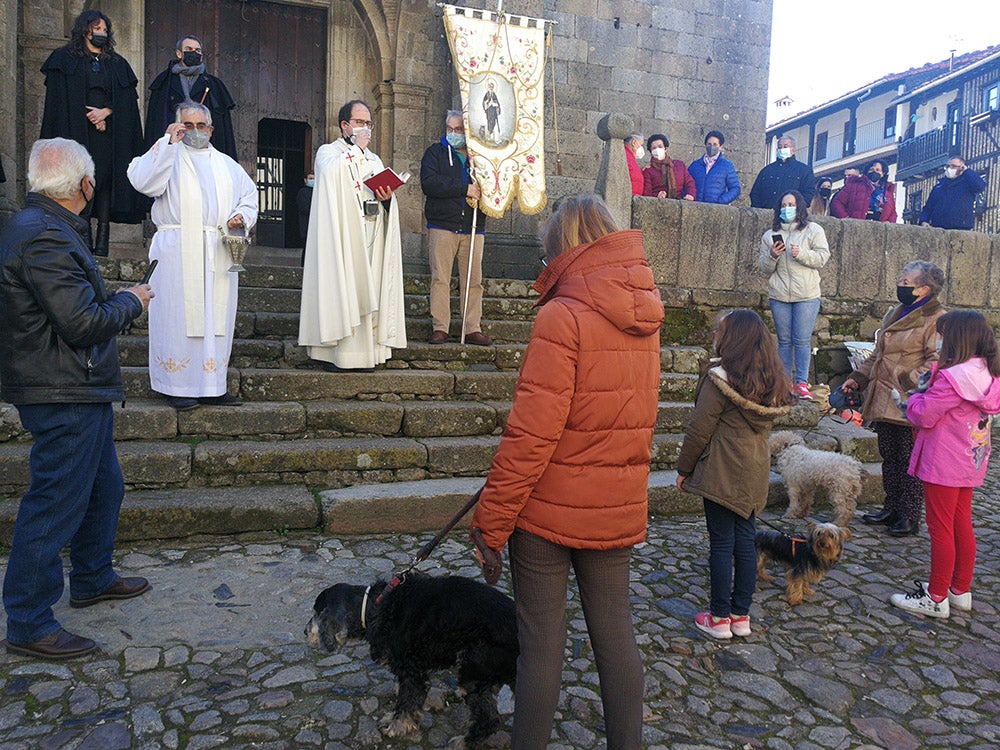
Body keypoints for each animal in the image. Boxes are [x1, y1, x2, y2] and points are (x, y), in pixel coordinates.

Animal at [306, 572, 520, 748]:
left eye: (316, 612)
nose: (305, 632)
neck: (376, 606)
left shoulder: (411, 670)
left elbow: (406, 701)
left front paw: (396, 726)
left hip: (474, 667)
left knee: (487, 719)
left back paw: (463, 742)